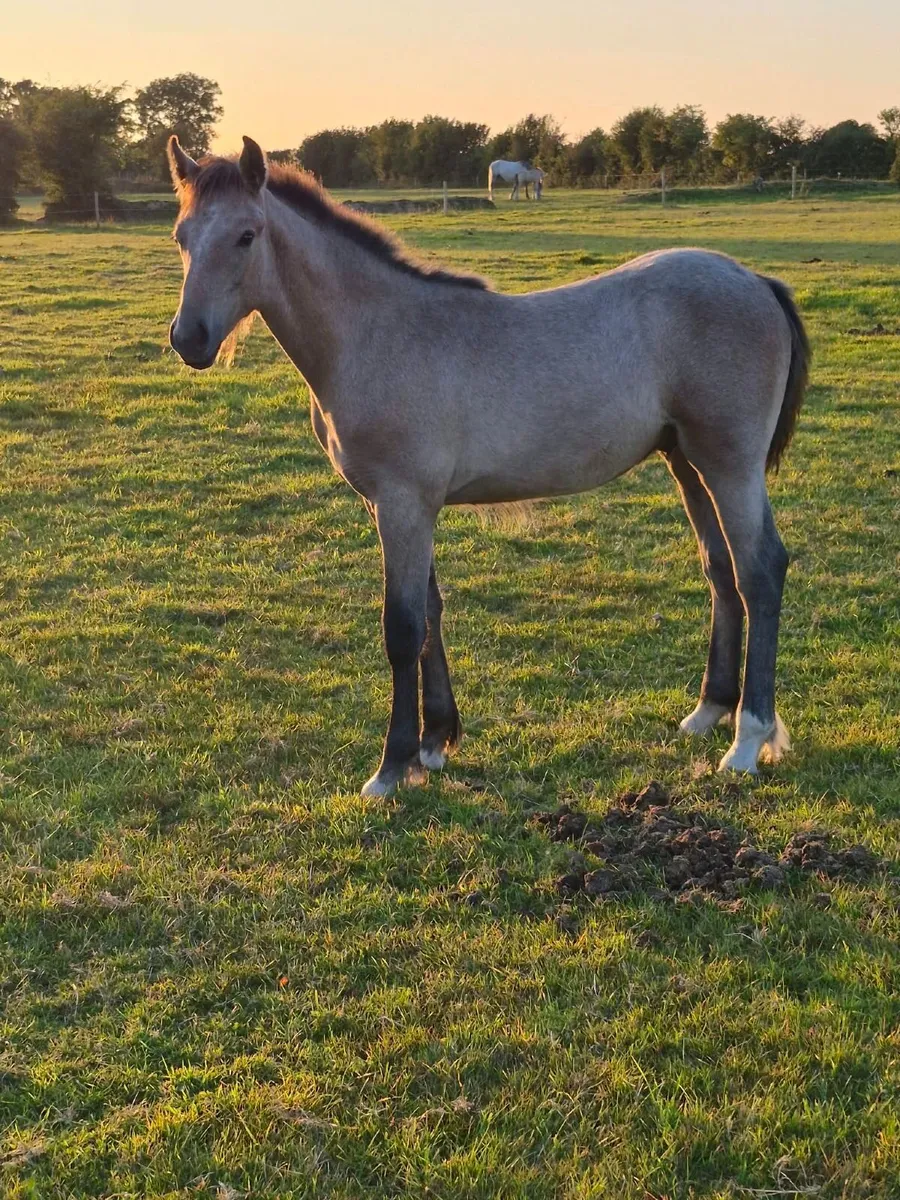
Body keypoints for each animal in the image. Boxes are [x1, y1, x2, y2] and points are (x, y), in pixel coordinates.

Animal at [167, 135, 809, 798]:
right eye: (181, 236)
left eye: (247, 235)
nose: (189, 339)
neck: (377, 333)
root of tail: (756, 280)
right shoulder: (399, 505)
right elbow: (430, 613)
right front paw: (434, 742)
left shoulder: (403, 503)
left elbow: (403, 629)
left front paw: (390, 767)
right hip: (688, 462)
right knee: (721, 571)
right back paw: (710, 711)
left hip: (730, 464)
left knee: (760, 571)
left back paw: (748, 740)